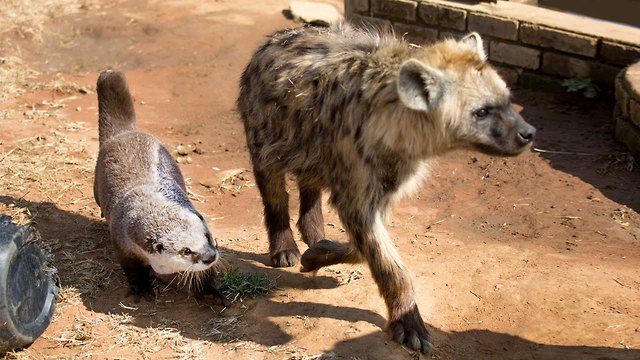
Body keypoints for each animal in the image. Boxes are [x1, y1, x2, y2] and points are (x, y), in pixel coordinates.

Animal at [94, 70, 226, 304]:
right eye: (186, 251)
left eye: (208, 236)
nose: (209, 256)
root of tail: (123, 133)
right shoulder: (123, 245)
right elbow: (133, 272)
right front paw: (142, 289)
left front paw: (211, 292)